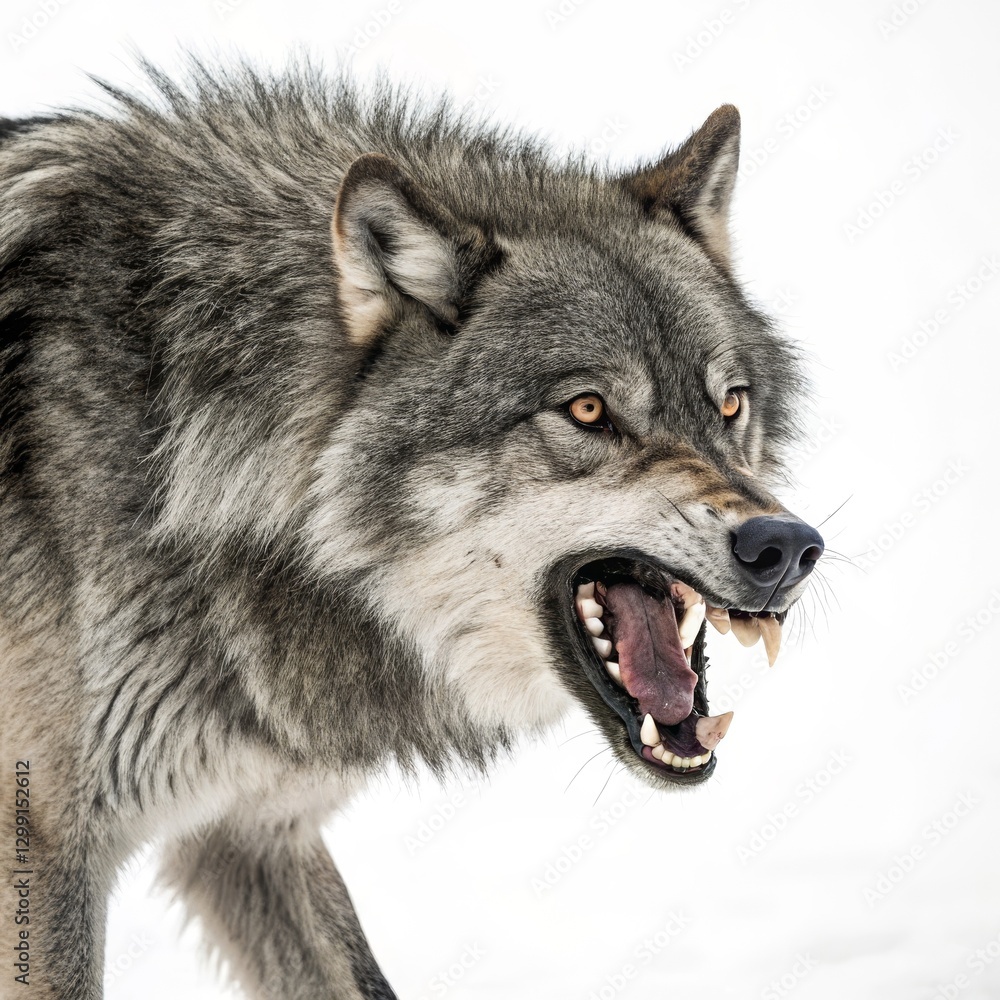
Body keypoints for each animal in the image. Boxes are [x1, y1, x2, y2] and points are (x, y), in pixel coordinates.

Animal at [0, 61, 824, 998]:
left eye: (730, 404)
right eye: (587, 410)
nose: (783, 547)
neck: (174, 446)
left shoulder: (252, 829)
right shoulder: (48, 843)